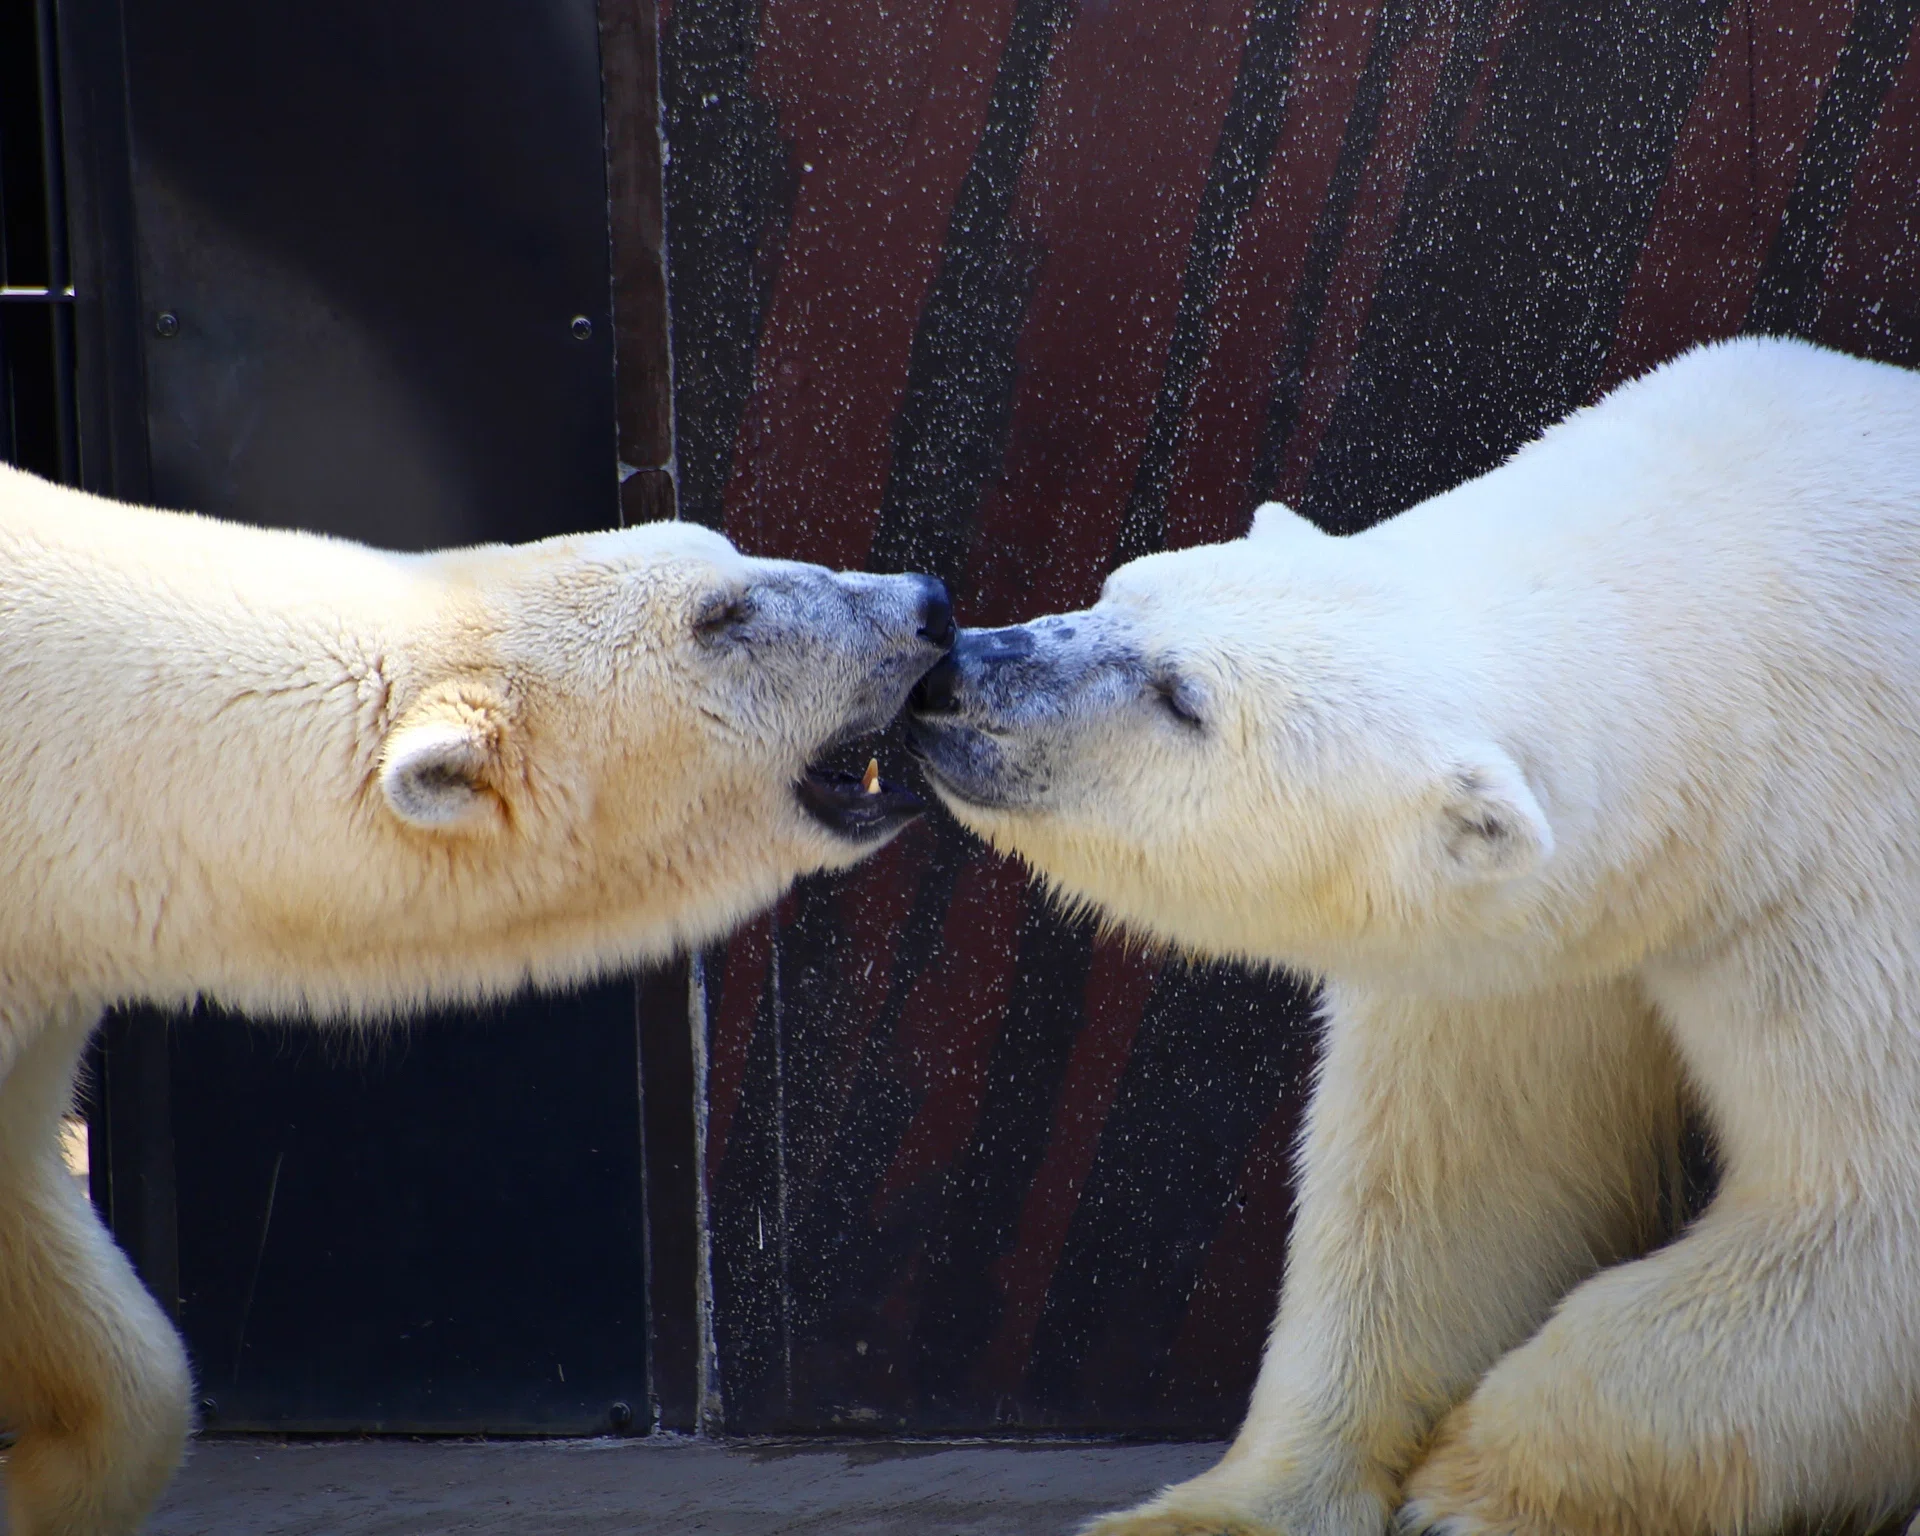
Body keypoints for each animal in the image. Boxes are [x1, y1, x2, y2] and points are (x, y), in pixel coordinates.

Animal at [906, 337, 1920, 1536]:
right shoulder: (1540, 932)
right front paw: (1224, 1508)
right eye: (1120, 590)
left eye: (1183, 698)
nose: (958, 674)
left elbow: (1855, 1223)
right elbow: (1457, 1173)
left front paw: (1470, 1487)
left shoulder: (1847, 887)